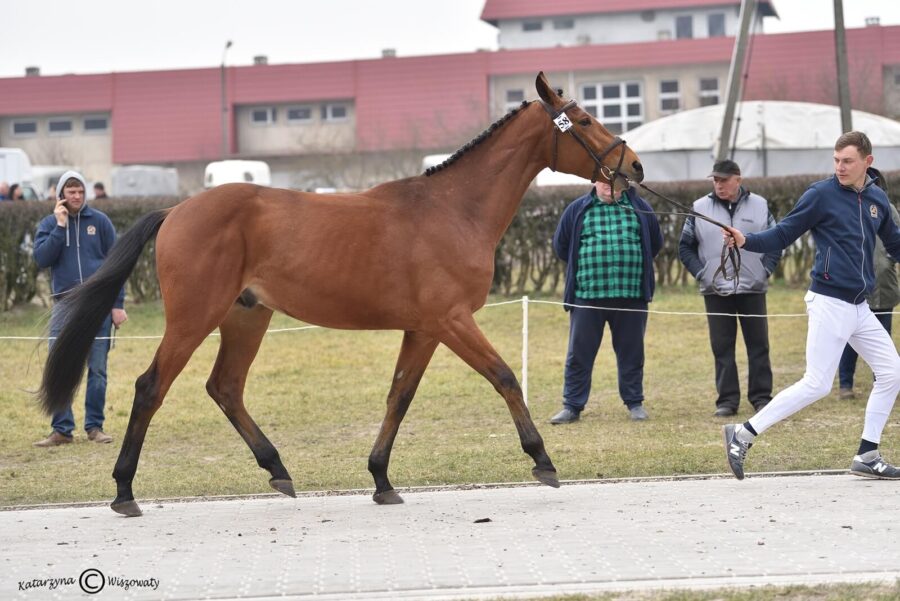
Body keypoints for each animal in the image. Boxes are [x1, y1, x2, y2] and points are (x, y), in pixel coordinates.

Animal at [42, 71, 644, 516]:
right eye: (584, 120)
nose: (633, 166)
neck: (452, 209)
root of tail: (177, 210)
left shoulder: (424, 328)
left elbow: (399, 395)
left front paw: (381, 479)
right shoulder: (452, 320)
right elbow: (504, 377)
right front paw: (542, 461)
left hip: (246, 317)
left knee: (226, 387)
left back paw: (278, 470)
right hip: (194, 318)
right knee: (151, 387)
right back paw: (124, 492)